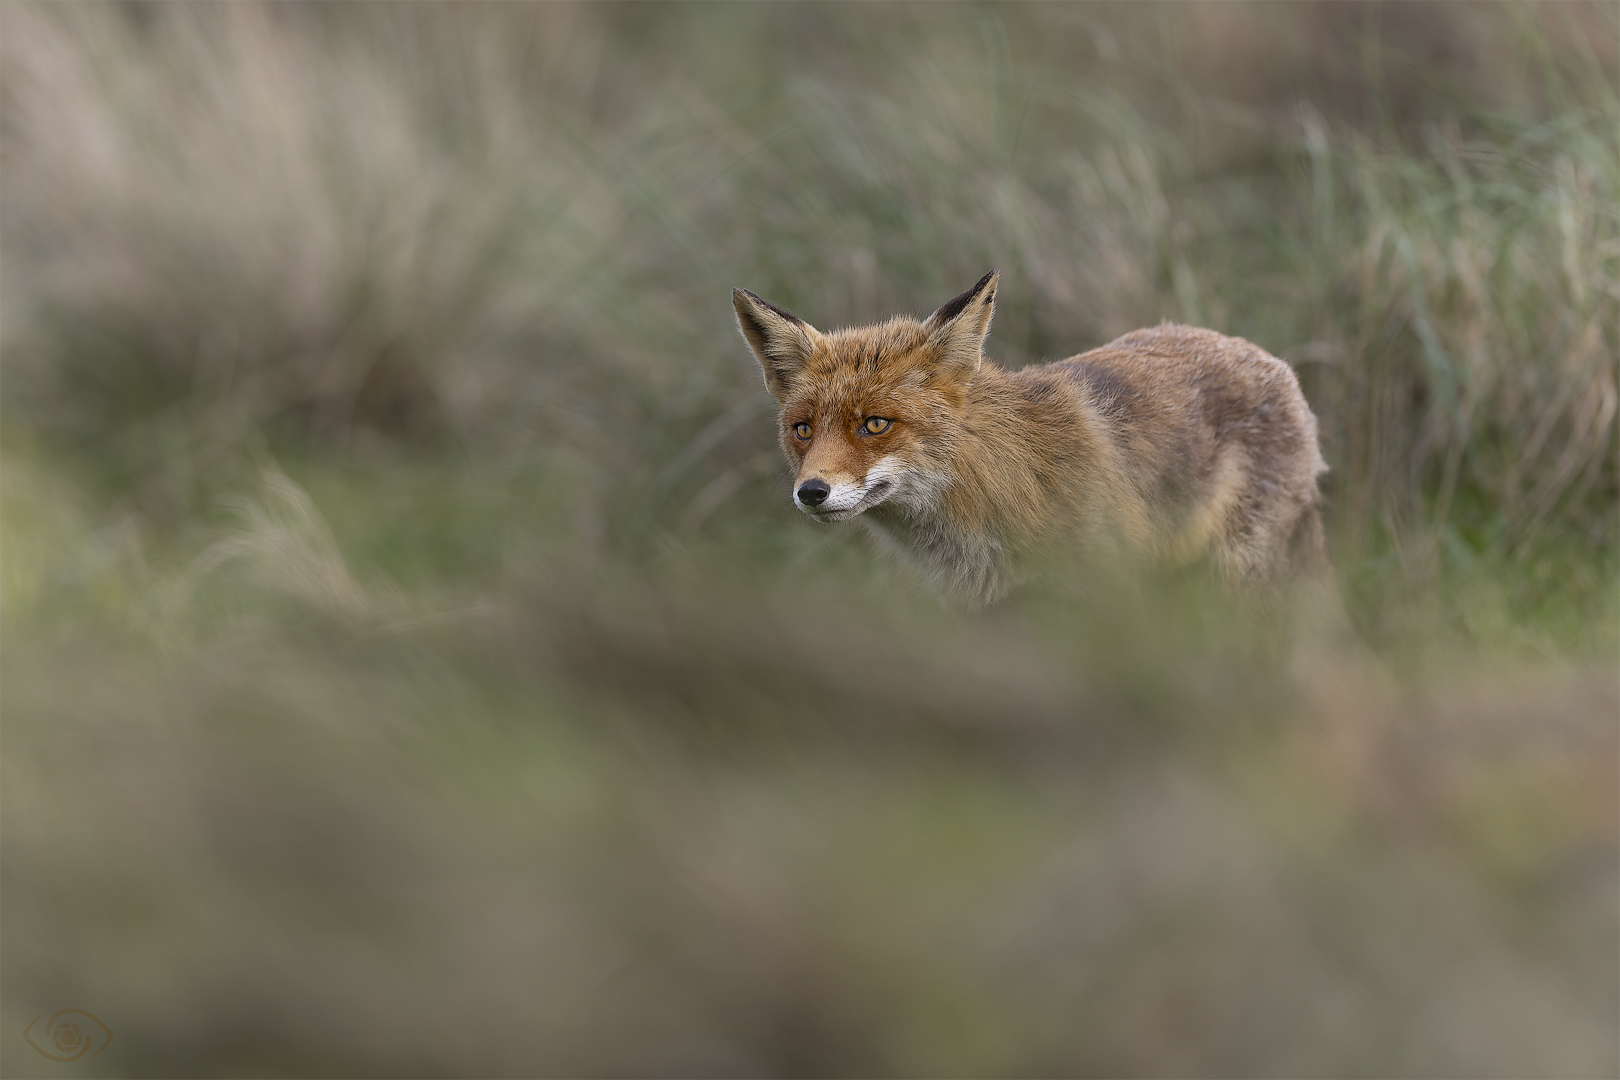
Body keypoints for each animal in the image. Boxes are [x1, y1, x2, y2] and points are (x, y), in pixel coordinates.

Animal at [735, 272, 1328, 608]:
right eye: (803, 430)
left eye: (875, 424)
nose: (811, 492)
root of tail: (1273, 361)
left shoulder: (1112, 593)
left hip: (1236, 577)